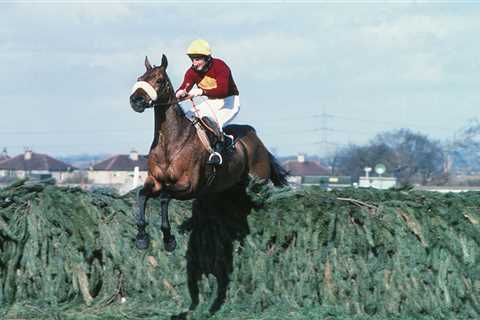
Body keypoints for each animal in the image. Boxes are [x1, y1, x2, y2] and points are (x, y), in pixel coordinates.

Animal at [128, 55, 288, 316]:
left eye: (159, 80)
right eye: (140, 78)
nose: (136, 100)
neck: (171, 141)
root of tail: (258, 141)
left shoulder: (188, 187)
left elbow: (164, 198)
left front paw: (169, 239)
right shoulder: (155, 182)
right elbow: (142, 196)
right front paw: (142, 237)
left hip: (258, 180)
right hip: (229, 189)